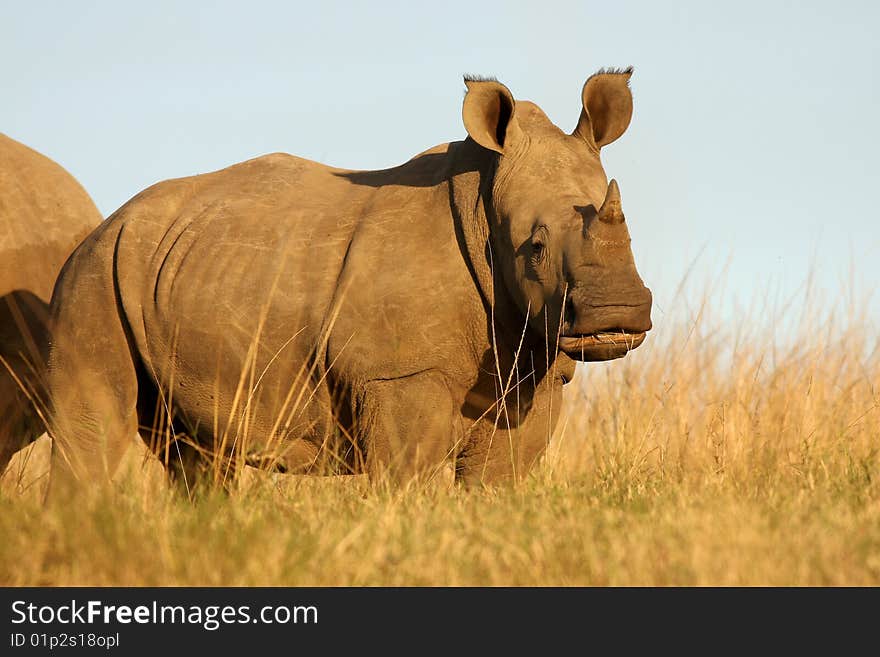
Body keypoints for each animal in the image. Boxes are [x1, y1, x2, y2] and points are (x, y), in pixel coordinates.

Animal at [48, 70, 652, 492]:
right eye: (536, 247)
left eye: (633, 233)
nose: (616, 315)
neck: (484, 202)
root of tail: (105, 223)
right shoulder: (400, 375)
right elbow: (407, 479)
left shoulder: (537, 374)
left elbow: (495, 484)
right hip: (91, 274)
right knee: (92, 429)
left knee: (194, 453)